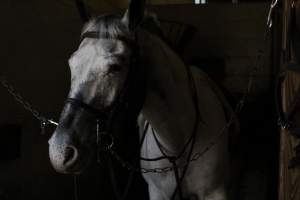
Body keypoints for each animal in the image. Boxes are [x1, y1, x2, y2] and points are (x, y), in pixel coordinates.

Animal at [48, 0, 236, 199]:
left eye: (115, 67)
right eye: (71, 63)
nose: (59, 152)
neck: (177, 145)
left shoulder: (216, 192)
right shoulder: (158, 192)